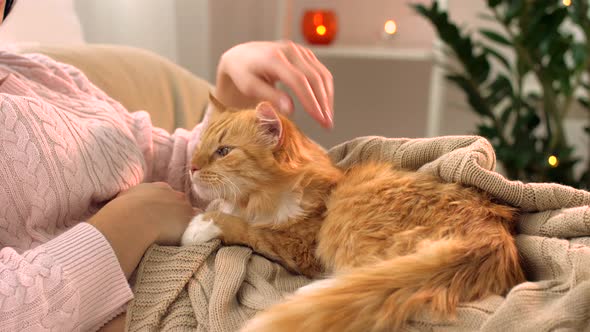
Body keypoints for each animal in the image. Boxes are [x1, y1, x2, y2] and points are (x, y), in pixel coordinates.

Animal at [183, 94, 524, 332]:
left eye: (224, 151)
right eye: (197, 148)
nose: (191, 167)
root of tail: (490, 235)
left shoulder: (299, 248)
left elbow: (244, 227)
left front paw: (198, 226)